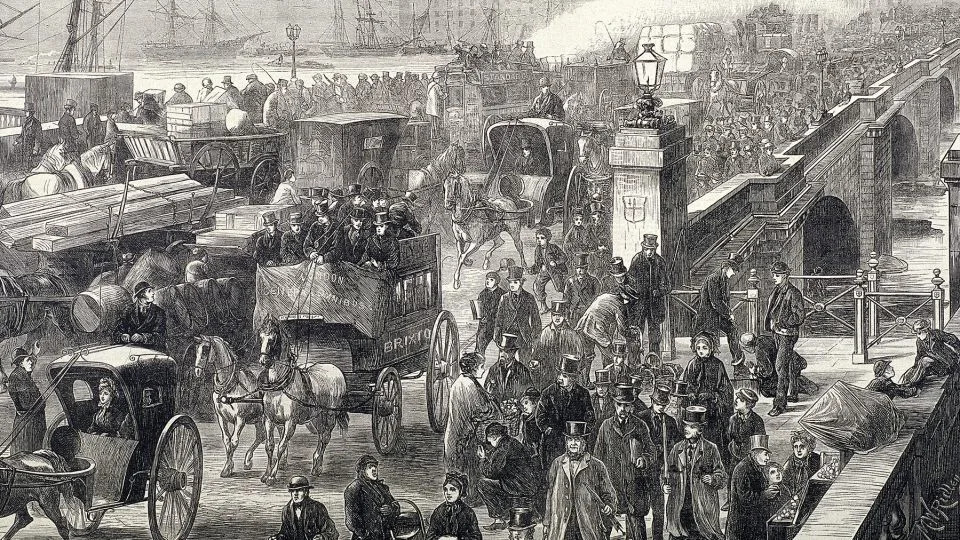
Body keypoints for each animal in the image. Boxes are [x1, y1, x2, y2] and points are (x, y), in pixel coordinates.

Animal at [440, 142, 524, 286]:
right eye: (445, 186)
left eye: (456, 185)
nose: (448, 205)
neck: (467, 215)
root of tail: (509, 201)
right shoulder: (459, 241)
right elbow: (460, 254)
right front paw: (467, 263)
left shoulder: (476, 243)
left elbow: (462, 256)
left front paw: (456, 280)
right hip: (494, 232)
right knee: (499, 242)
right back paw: (486, 261)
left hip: (514, 231)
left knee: (519, 246)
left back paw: (525, 266)